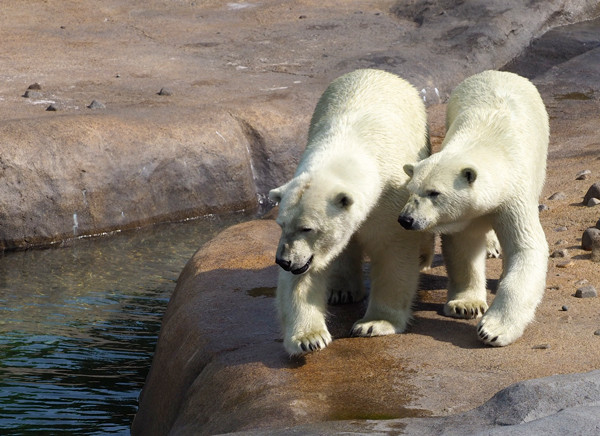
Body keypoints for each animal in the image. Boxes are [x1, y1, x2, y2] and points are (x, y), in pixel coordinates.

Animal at [270, 67, 432, 354]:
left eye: (307, 228)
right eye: (281, 225)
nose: (284, 261)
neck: (347, 145)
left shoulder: (390, 198)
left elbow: (393, 252)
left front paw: (374, 324)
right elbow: (304, 275)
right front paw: (309, 338)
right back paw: (342, 290)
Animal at [398, 70, 548, 346]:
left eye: (434, 193)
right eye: (411, 189)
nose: (406, 220)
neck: (489, 141)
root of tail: (498, 72)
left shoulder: (515, 195)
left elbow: (526, 247)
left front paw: (493, 330)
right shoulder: (466, 214)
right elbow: (464, 246)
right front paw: (465, 306)